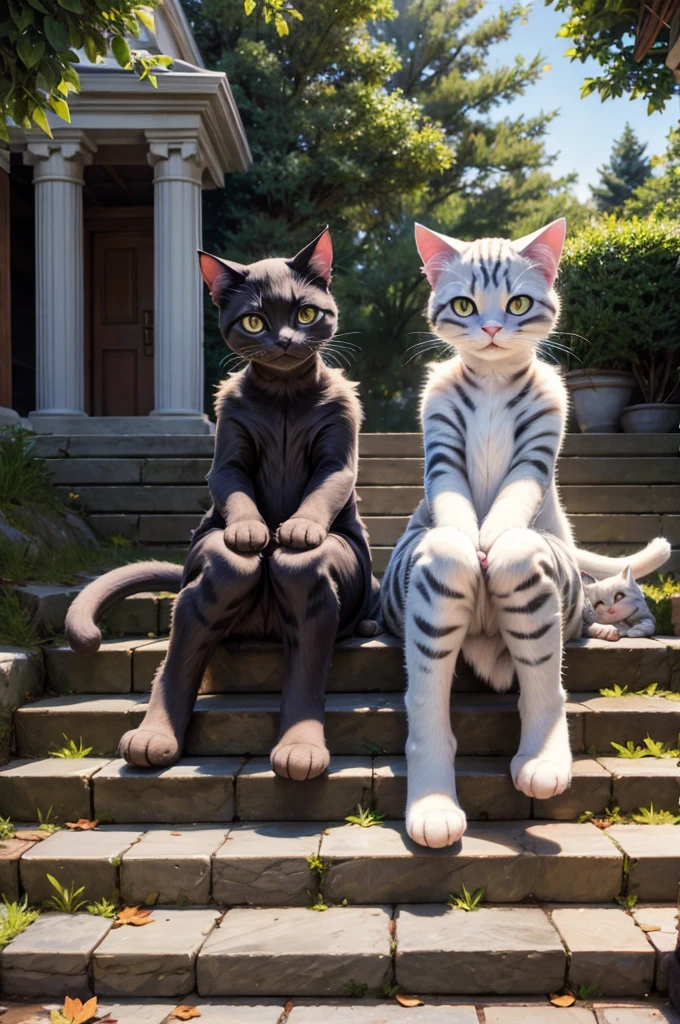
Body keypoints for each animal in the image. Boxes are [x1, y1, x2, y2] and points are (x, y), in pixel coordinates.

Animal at [378, 220, 671, 851]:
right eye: (465, 305)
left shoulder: (538, 448)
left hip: (537, 577)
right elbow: (459, 516)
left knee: (542, 673)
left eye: (516, 304)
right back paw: (434, 811)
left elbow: (509, 509)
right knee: (430, 676)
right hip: (433, 586)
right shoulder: (441, 447)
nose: (491, 328)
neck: (490, 381)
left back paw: (542, 765)